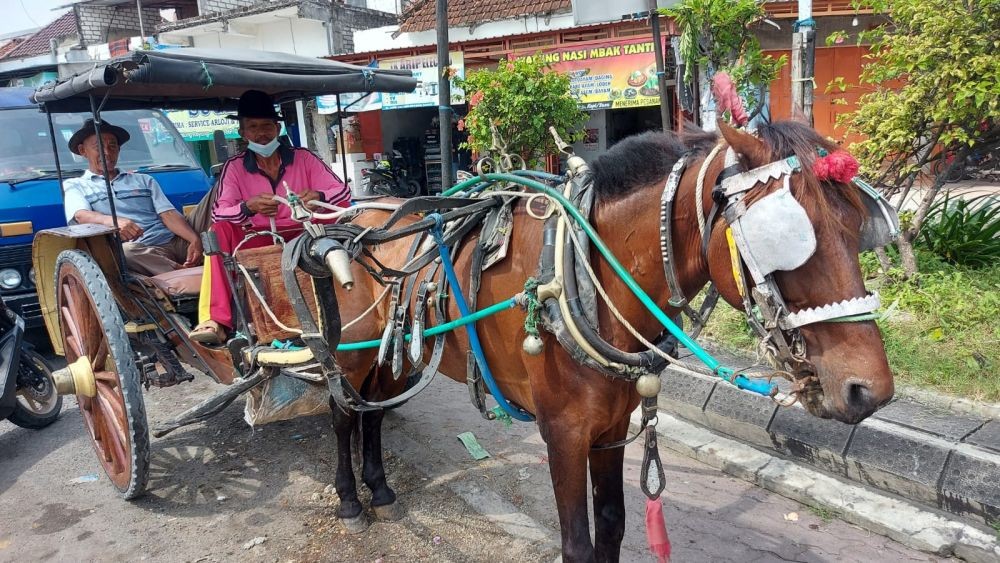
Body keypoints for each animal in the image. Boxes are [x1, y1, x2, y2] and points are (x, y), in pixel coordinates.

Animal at [314, 119, 892, 560]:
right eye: (785, 238)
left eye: (856, 228)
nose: (871, 390)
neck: (585, 273)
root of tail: (355, 216)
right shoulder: (563, 433)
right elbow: (578, 543)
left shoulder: (612, 426)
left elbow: (612, 526)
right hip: (348, 352)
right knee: (344, 415)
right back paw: (350, 499)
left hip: (394, 357)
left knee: (374, 412)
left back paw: (380, 488)